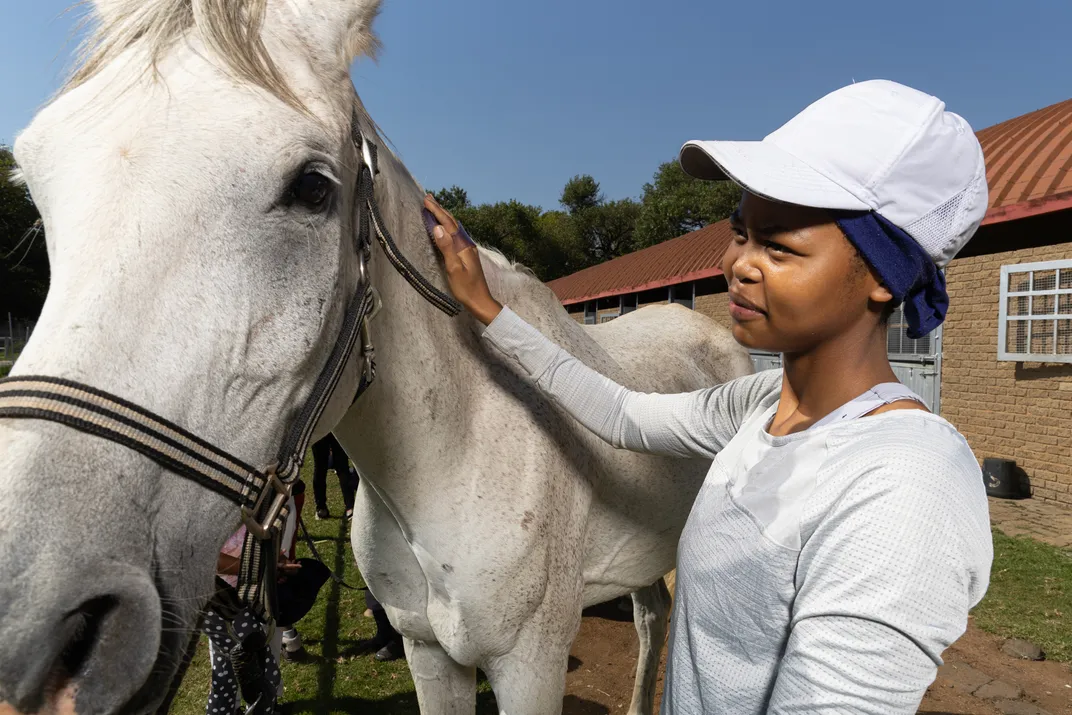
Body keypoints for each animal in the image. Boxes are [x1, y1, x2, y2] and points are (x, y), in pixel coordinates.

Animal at [2, 1, 754, 715]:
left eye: (313, 187)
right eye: (36, 184)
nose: (39, 628)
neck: (454, 460)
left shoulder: (531, 664)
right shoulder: (430, 652)